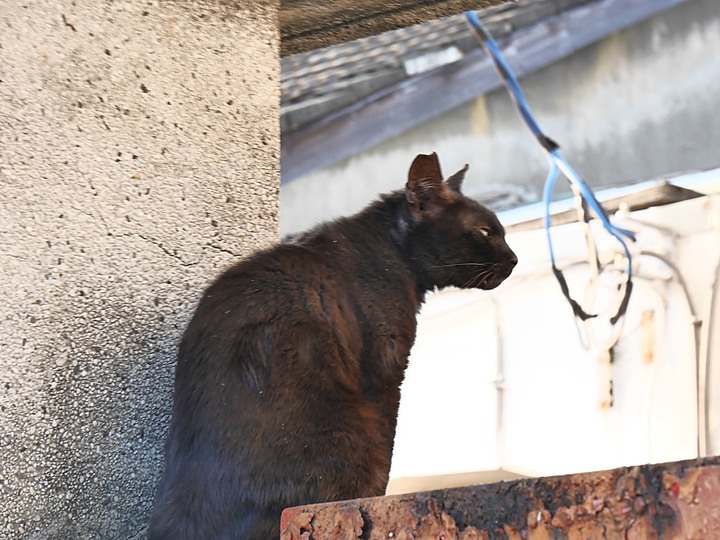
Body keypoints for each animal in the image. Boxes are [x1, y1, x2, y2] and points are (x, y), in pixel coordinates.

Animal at [149, 152, 516, 540]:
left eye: (501, 233)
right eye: (485, 232)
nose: (514, 259)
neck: (392, 254)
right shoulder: (385, 375)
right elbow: (388, 447)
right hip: (351, 429)